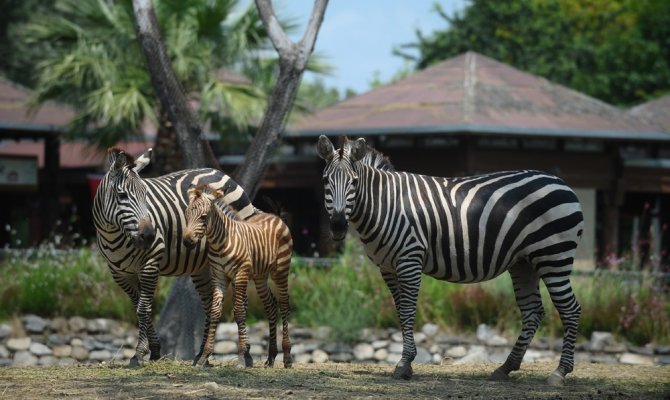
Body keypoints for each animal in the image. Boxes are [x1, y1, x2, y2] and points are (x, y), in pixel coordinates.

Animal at [93, 147, 257, 367]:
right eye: (122, 195)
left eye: (146, 195)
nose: (149, 235)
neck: (114, 233)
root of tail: (217, 171)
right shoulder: (120, 274)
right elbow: (138, 308)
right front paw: (154, 350)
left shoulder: (150, 264)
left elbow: (143, 309)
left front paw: (139, 354)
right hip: (202, 266)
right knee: (209, 304)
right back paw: (201, 355)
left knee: (242, 301)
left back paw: (245, 353)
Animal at [182, 184, 293, 369]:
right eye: (186, 215)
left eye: (203, 217)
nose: (186, 242)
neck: (220, 243)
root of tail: (274, 216)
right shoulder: (218, 276)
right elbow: (214, 312)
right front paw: (204, 357)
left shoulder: (240, 274)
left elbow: (240, 312)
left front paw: (241, 357)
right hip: (260, 276)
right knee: (270, 305)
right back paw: (271, 357)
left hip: (281, 270)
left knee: (284, 304)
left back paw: (287, 357)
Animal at [316, 136, 583, 386]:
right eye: (325, 181)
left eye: (354, 182)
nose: (338, 226)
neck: (384, 205)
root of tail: (561, 182)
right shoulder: (387, 267)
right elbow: (400, 311)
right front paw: (407, 363)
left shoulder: (409, 259)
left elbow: (408, 310)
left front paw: (404, 364)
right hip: (524, 263)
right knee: (533, 312)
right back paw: (506, 367)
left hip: (554, 256)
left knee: (570, 309)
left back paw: (559, 372)